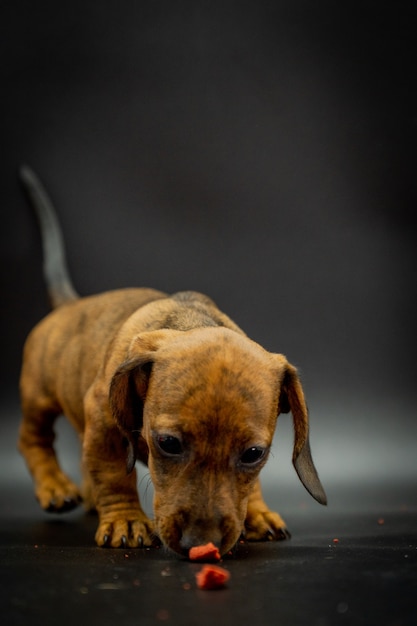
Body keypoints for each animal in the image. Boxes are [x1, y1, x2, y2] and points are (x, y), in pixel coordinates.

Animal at [18, 167, 324, 556]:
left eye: (254, 453)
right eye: (169, 444)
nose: (199, 543)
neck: (189, 321)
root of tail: (71, 303)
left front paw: (256, 512)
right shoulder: (104, 423)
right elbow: (114, 474)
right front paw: (124, 521)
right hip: (38, 397)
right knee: (32, 439)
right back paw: (54, 486)